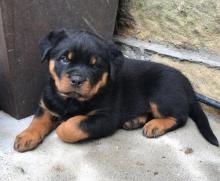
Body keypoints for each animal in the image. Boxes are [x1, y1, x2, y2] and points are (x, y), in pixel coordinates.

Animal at [13, 29, 218, 152]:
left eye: (95, 66)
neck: (71, 100)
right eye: (64, 59)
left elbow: (72, 126)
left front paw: (63, 124)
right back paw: (135, 121)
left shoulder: (106, 118)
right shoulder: (47, 104)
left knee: (180, 116)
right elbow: (38, 120)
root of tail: (186, 82)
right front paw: (26, 136)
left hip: (162, 95)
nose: (77, 80)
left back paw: (155, 125)